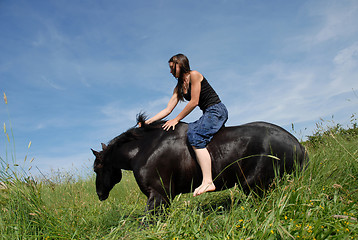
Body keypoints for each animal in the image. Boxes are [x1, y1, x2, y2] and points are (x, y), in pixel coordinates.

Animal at [91, 114, 308, 212]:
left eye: (97, 168)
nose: (100, 194)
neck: (145, 148)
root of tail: (297, 146)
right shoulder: (163, 198)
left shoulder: (158, 196)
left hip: (253, 185)